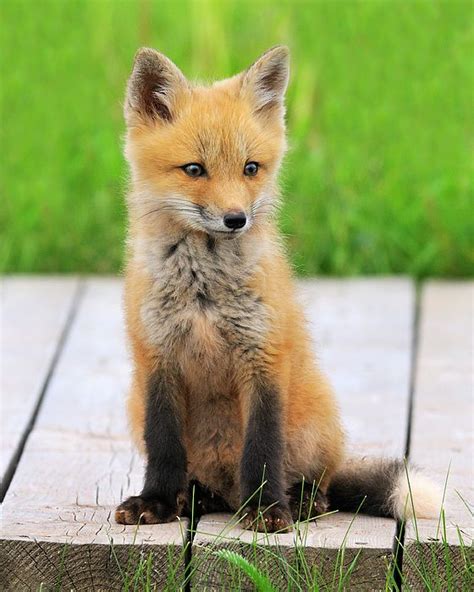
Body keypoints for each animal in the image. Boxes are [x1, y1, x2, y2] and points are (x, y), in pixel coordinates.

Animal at [115, 45, 440, 528]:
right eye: (194, 169)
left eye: (251, 168)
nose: (236, 219)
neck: (204, 293)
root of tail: (228, 492)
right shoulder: (156, 358)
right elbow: (164, 445)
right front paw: (155, 501)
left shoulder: (265, 357)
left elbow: (263, 448)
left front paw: (267, 509)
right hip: (135, 406)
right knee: (203, 481)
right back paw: (193, 497)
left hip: (315, 419)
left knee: (318, 479)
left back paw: (300, 500)